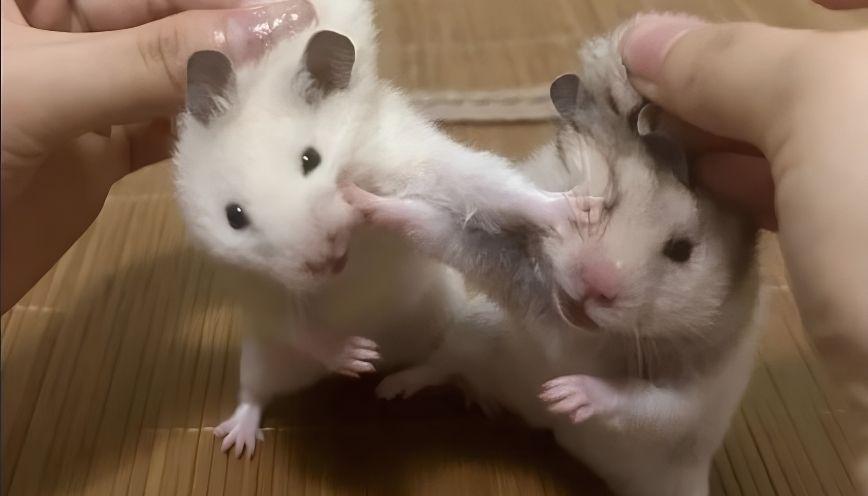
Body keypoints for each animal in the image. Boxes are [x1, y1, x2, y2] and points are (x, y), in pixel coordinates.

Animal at [173, 0, 559, 457]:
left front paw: (569, 209)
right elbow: (296, 323)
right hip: (265, 358)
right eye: (234, 217)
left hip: (442, 319)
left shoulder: (407, 158)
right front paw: (356, 355)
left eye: (311, 159)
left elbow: (484, 185)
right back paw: (240, 439)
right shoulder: (256, 287)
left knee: (446, 366)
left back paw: (425, 387)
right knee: (255, 392)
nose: (324, 260)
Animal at [343, 22, 762, 496]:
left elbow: (641, 403)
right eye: (600, 205)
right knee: (441, 367)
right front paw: (358, 199)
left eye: (681, 250)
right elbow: (437, 229)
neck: (580, 334)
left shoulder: (692, 395)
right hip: (473, 330)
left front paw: (562, 395)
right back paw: (394, 388)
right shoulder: (514, 275)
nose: (594, 287)